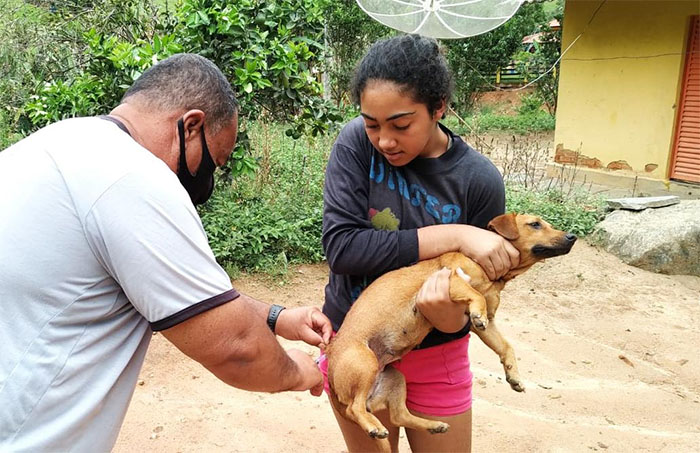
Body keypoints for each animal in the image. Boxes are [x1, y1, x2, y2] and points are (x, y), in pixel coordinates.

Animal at [326, 214, 576, 446]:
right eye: (535, 224)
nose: (572, 237)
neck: (494, 275)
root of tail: (331, 368)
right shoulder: (454, 281)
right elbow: (475, 295)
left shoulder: (485, 324)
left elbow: (506, 346)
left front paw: (513, 375)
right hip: (364, 361)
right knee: (354, 408)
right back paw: (374, 427)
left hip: (394, 378)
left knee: (398, 416)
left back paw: (433, 425)